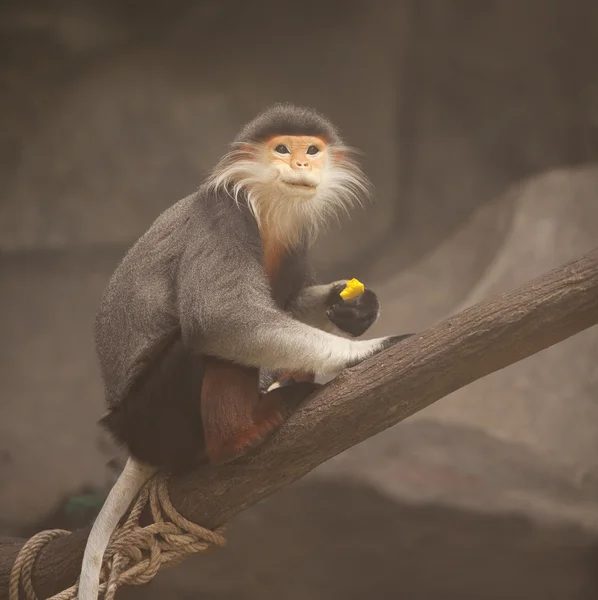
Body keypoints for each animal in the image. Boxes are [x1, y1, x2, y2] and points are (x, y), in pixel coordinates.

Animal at [77, 105, 414, 596]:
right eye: (282, 149)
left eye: (313, 150)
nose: (302, 164)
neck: (264, 203)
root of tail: (130, 434)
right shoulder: (225, 216)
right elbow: (220, 317)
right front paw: (367, 348)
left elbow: (289, 304)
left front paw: (354, 308)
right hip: (155, 413)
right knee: (208, 341)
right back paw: (241, 434)